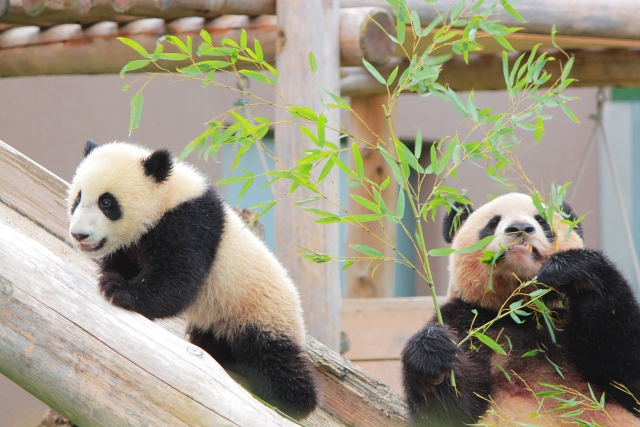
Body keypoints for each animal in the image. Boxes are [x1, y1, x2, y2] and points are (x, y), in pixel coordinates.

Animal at [67, 140, 318, 418]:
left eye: (107, 203)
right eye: (78, 197)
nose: (79, 234)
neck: (168, 196)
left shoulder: (190, 224)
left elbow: (177, 279)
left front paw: (118, 289)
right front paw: (113, 278)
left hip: (259, 312)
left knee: (274, 357)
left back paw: (295, 401)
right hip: (219, 320)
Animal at [400, 195, 640, 427]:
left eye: (542, 221)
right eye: (492, 223)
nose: (520, 228)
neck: (521, 310)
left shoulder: (562, 315)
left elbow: (628, 378)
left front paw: (573, 269)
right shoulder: (468, 320)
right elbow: (450, 412)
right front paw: (432, 356)